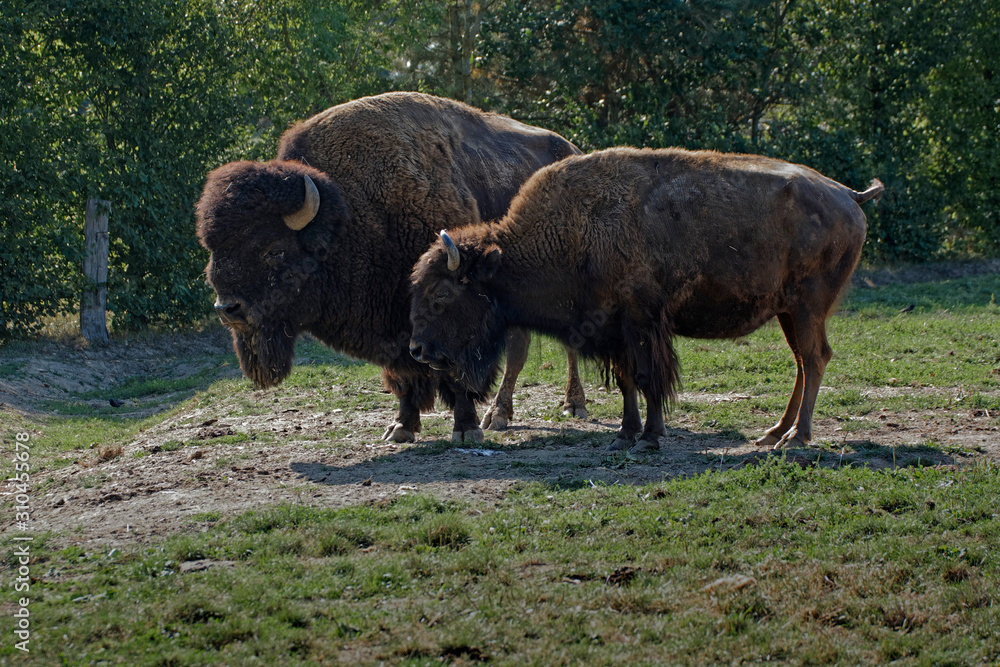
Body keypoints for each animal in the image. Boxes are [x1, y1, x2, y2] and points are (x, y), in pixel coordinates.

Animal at [194, 90, 584, 444]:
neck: (352, 213)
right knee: (521, 347)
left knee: (564, 345)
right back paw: (499, 415)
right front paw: (401, 427)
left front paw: (465, 429)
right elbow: (405, 376)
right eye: (213, 250)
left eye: (274, 250)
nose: (227, 309)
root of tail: (574, 150)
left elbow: (452, 372)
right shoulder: (395, 327)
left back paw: (572, 405)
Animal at [406, 147, 884, 454]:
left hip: (807, 307)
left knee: (815, 357)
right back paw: (774, 431)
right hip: (789, 311)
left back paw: (795, 438)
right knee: (803, 361)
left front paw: (650, 437)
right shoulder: (615, 331)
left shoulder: (641, 323)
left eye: (443, 293)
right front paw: (625, 435)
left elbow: (648, 376)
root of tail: (848, 196)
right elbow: (627, 382)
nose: (417, 348)